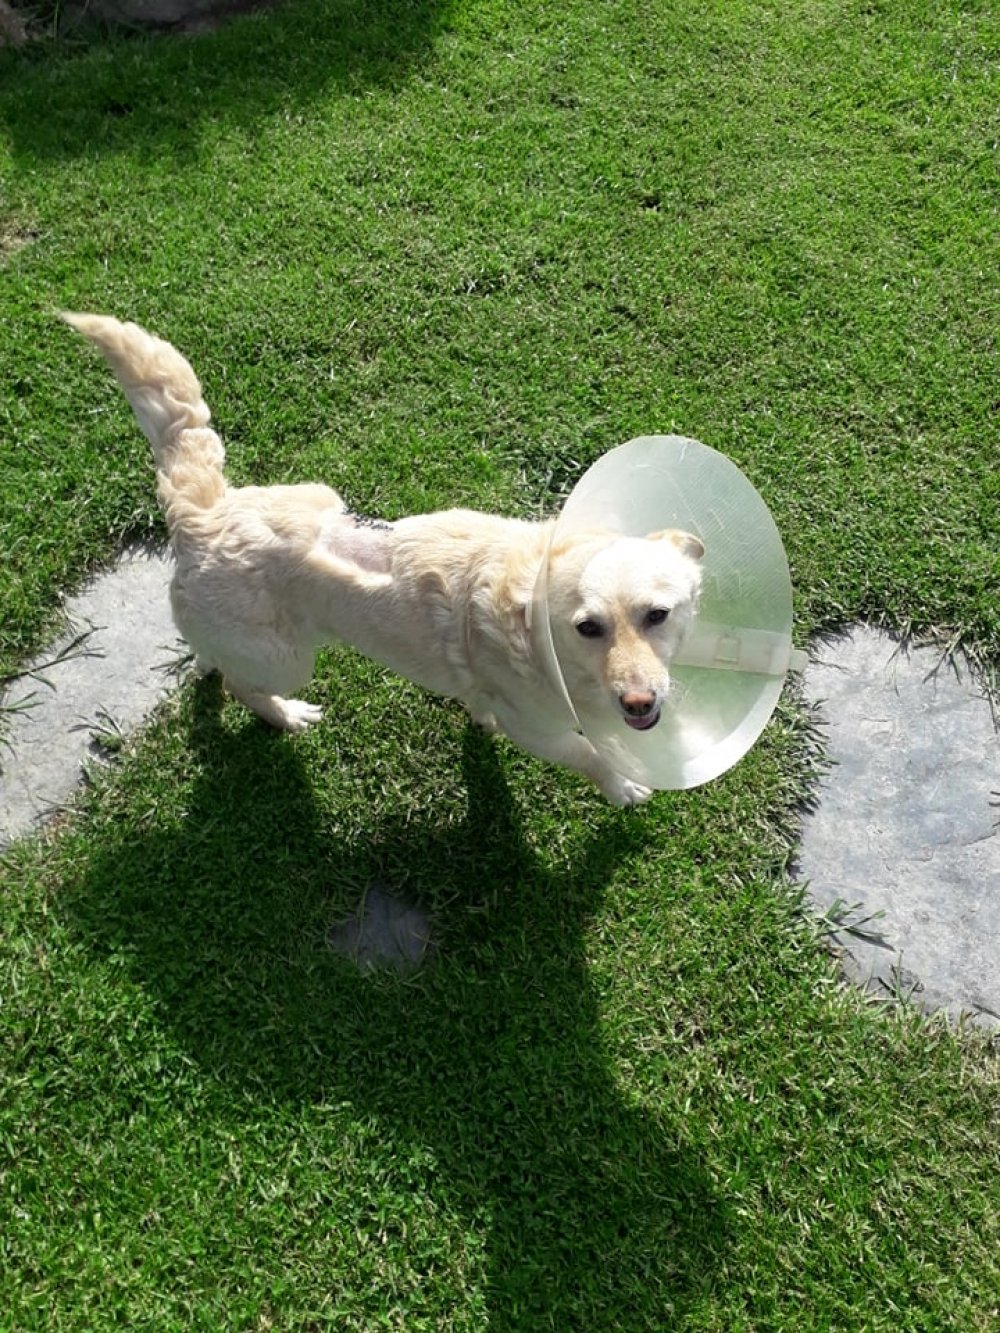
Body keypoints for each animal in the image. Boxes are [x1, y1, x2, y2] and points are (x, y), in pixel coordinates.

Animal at [63, 313, 704, 805]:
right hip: (285, 659)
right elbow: (586, 752)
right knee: (244, 688)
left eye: (658, 615)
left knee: (211, 654)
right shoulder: (538, 731)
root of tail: (204, 509)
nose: (641, 702)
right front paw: (622, 785)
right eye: (588, 627)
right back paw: (285, 715)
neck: (527, 620)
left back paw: (204, 658)